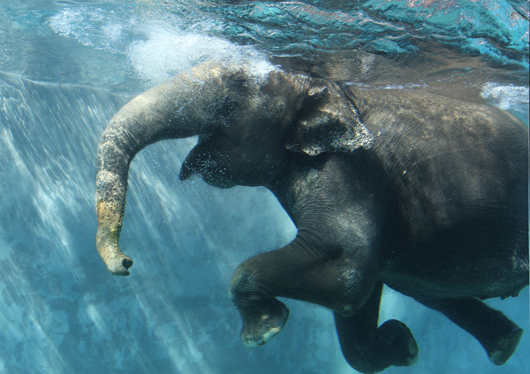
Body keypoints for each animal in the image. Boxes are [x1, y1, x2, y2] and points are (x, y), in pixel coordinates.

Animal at [94, 60, 524, 372]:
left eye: (232, 97)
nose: (126, 263)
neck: (324, 88)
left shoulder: (350, 168)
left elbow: (345, 265)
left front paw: (263, 331)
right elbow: (358, 308)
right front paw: (402, 344)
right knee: (433, 292)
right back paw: (505, 345)